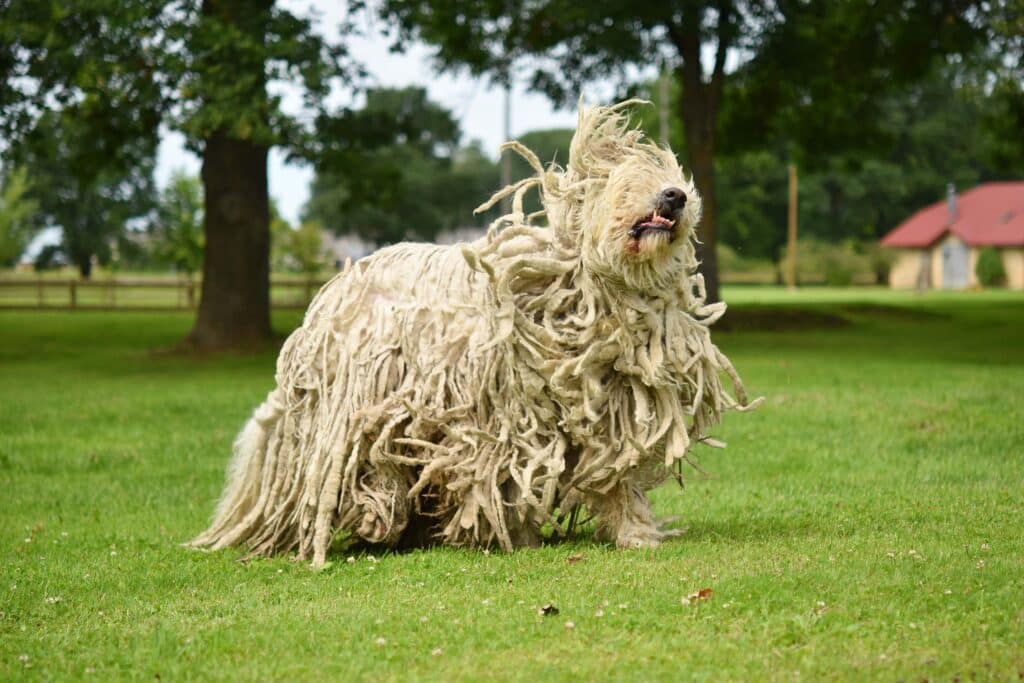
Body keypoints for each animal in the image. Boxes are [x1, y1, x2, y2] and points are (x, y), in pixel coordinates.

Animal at [193, 97, 761, 565]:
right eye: (629, 183)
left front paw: (635, 531)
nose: (675, 196)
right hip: (354, 411)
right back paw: (373, 520)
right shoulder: (503, 415)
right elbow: (501, 474)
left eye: (674, 176)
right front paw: (508, 534)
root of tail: (329, 295)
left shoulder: (613, 410)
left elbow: (613, 474)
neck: (585, 287)